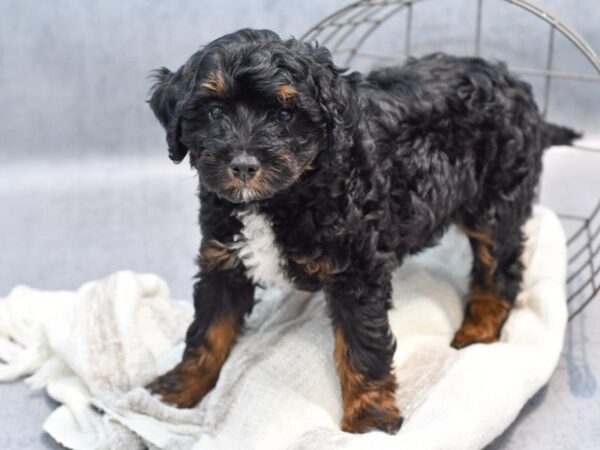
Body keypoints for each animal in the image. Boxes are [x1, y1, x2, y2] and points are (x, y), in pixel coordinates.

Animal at [145, 27, 576, 432]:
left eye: (284, 115)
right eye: (214, 111)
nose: (244, 164)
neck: (285, 195)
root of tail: (516, 85)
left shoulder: (357, 270)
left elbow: (361, 345)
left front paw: (369, 416)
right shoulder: (224, 258)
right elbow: (208, 329)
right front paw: (178, 388)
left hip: (495, 200)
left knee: (500, 269)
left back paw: (477, 332)